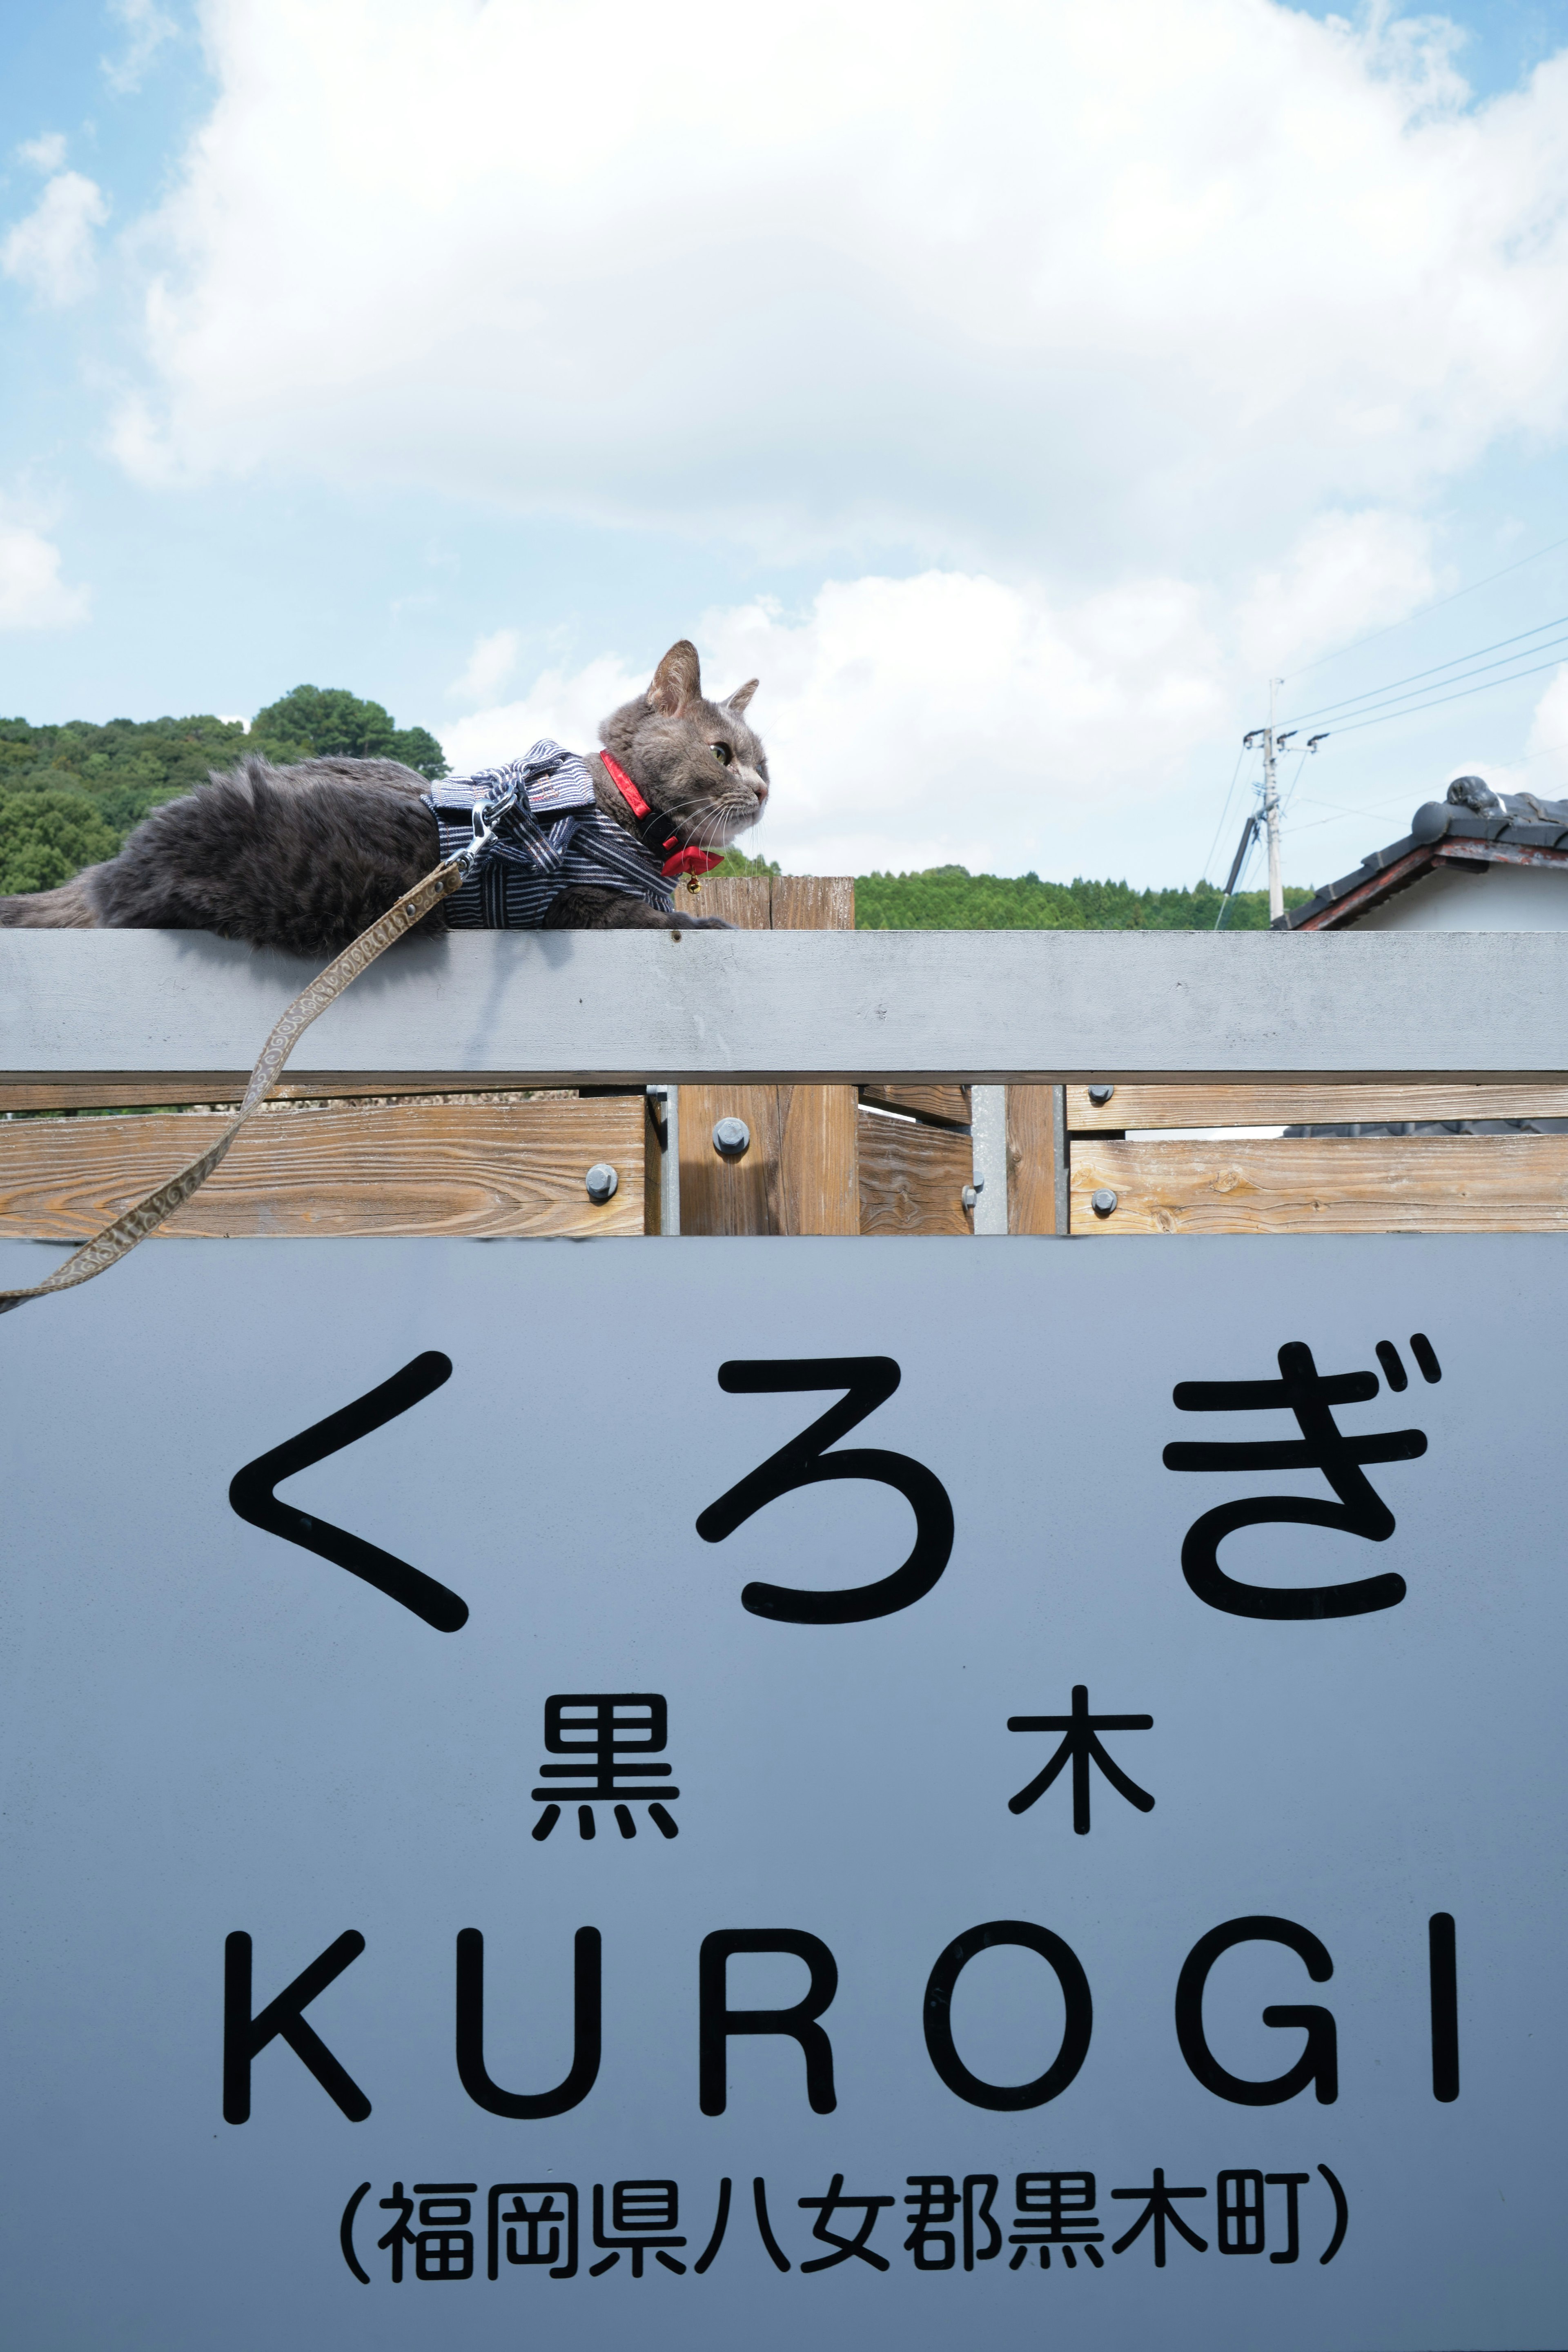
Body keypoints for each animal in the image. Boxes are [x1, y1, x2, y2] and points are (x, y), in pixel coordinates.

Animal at [0, 644, 771, 955]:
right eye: (721, 755)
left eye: (765, 760)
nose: (764, 789)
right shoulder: (569, 901)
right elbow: (642, 916)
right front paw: (708, 923)